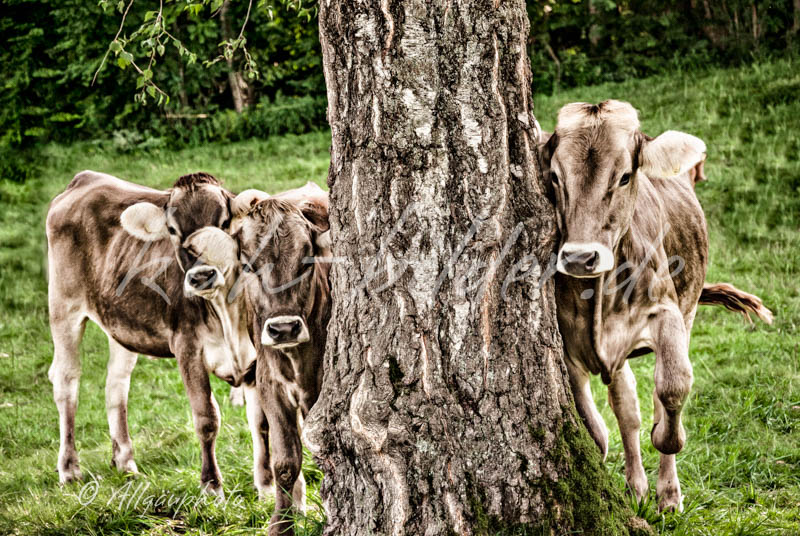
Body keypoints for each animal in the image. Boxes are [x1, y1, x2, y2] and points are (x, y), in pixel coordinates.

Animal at [540, 100, 772, 510]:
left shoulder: (667, 313)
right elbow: (595, 423)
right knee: (626, 408)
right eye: (554, 177)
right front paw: (605, 453)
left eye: (624, 177)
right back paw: (636, 487)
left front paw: (665, 448)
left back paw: (666, 494)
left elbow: (672, 389)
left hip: (687, 311)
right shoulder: (568, 341)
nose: (581, 257)